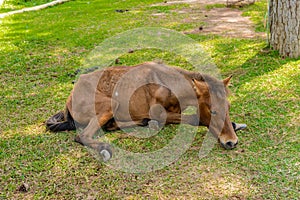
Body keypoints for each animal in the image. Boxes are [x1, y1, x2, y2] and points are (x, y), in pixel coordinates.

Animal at [46, 61, 239, 160]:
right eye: (213, 111)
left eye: (228, 107)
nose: (232, 142)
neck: (167, 82)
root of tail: (70, 97)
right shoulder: (159, 113)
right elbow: (193, 118)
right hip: (110, 104)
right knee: (82, 136)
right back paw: (104, 148)